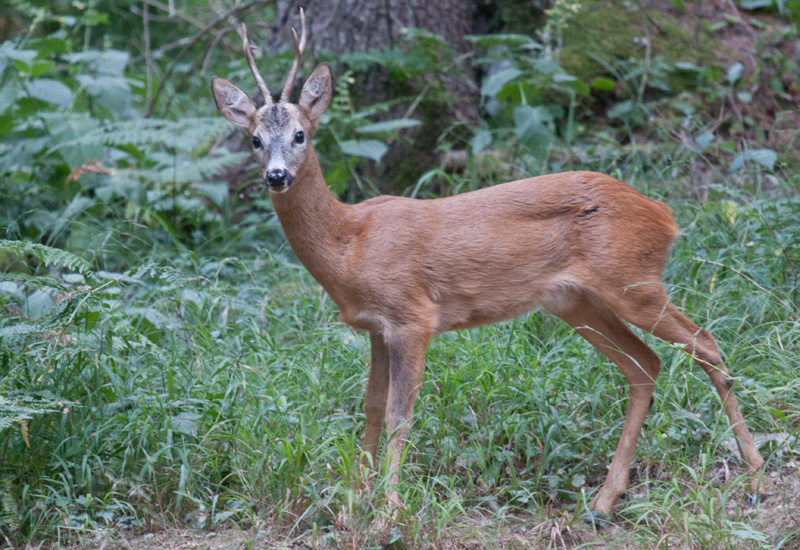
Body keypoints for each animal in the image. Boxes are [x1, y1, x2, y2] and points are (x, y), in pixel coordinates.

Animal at [209, 10, 764, 524]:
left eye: (301, 134)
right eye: (255, 139)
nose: (277, 176)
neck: (350, 244)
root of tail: (665, 216)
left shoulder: (413, 316)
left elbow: (399, 414)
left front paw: (388, 509)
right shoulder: (375, 327)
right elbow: (369, 408)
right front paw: (353, 503)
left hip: (633, 279)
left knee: (705, 343)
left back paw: (755, 471)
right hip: (577, 302)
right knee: (645, 365)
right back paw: (604, 501)